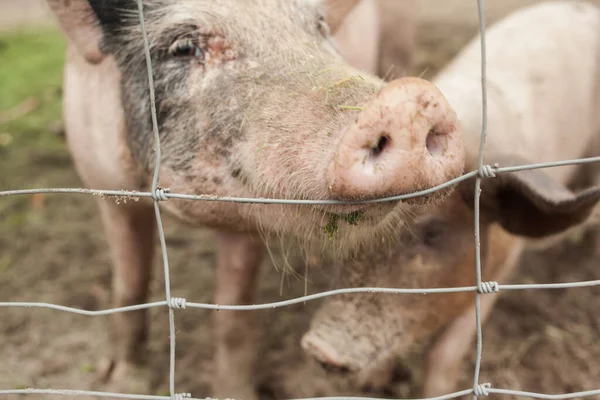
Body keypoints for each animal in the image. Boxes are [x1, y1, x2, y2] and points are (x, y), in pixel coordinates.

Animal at [47, 1, 466, 398]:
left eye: (319, 26)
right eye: (183, 47)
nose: (406, 100)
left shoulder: (249, 219)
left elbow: (232, 316)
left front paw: (234, 393)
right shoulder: (105, 187)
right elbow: (130, 286)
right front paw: (124, 384)